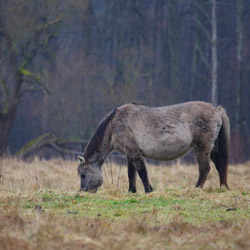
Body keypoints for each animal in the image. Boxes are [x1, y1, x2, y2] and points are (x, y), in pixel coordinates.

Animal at [77, 101, 229, 193]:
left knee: (204, 169)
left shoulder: (134, 153)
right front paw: (131, 191)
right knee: (220, 166)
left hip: (201, 148)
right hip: (213, 149)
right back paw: (223, 188)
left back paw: (196, 189)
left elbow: (142, 173)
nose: (82, 192)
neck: (114, 126)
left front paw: (148, 190)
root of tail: (216, 110)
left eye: (83, 175)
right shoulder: (129, 154)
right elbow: (131, 174)